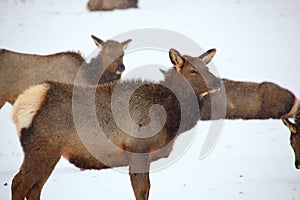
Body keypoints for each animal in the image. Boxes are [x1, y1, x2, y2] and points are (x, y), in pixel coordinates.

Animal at [11, 47, 220, 199]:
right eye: (193, 71)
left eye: (207, 68)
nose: (218, 83)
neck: (169, 116)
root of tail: (24, 105)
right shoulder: (138, 149)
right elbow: (142, 190)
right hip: (41, 149)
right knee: (18, 183)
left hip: (51, 153)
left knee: (34, 188)